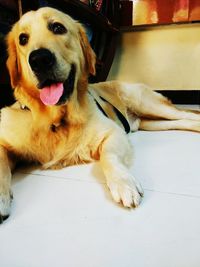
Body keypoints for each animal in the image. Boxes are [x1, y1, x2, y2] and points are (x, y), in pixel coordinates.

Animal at [0, 7, 200, 223]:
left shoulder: (113, 133)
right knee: (183, 121)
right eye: (23, 39)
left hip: (147, 104)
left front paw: (123, 183)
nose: (39, 60)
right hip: (152, 123)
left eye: (57, 27)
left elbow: (108, 155)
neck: (57, 121)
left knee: (188, 114)